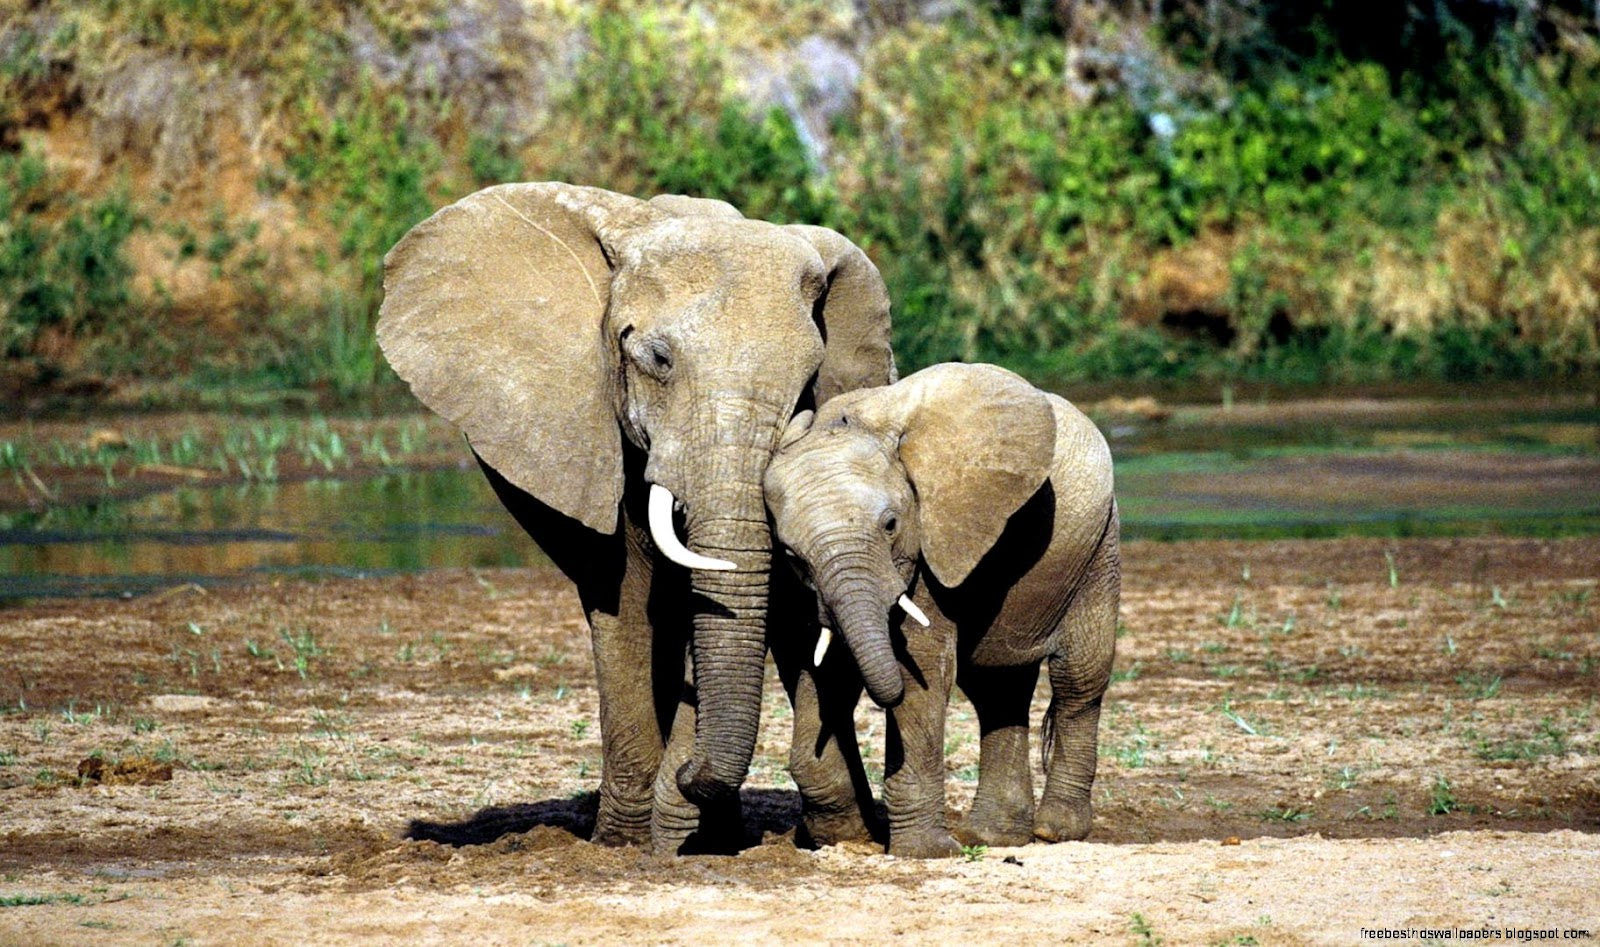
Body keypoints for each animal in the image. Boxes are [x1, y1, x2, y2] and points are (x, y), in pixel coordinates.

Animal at [763, 363, 1120, 858]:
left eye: (891, 524)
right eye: (791, 554)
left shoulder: (934, 540)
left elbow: (921, 671)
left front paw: (925, 852)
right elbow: (820, 666)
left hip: (1097, 547)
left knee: (1079, 679)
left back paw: (1054, 831)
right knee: (997, 691)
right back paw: (994, 837)